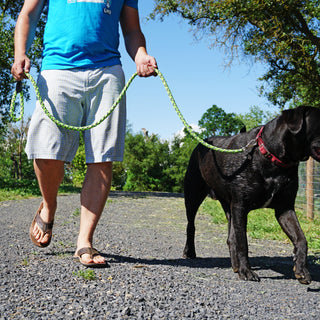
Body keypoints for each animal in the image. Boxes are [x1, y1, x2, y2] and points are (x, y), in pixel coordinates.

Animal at [182, 106, 320, 284]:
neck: (272, 156)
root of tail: (202, 144)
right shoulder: (240, 207)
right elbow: (243, 242)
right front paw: (246, 271)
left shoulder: (285, 208)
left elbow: (301, 238)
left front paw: (301, 270)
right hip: (193, 196)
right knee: (191, 225)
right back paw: (190, 252)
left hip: (228, 207)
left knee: (231, 237)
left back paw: (235, 265)